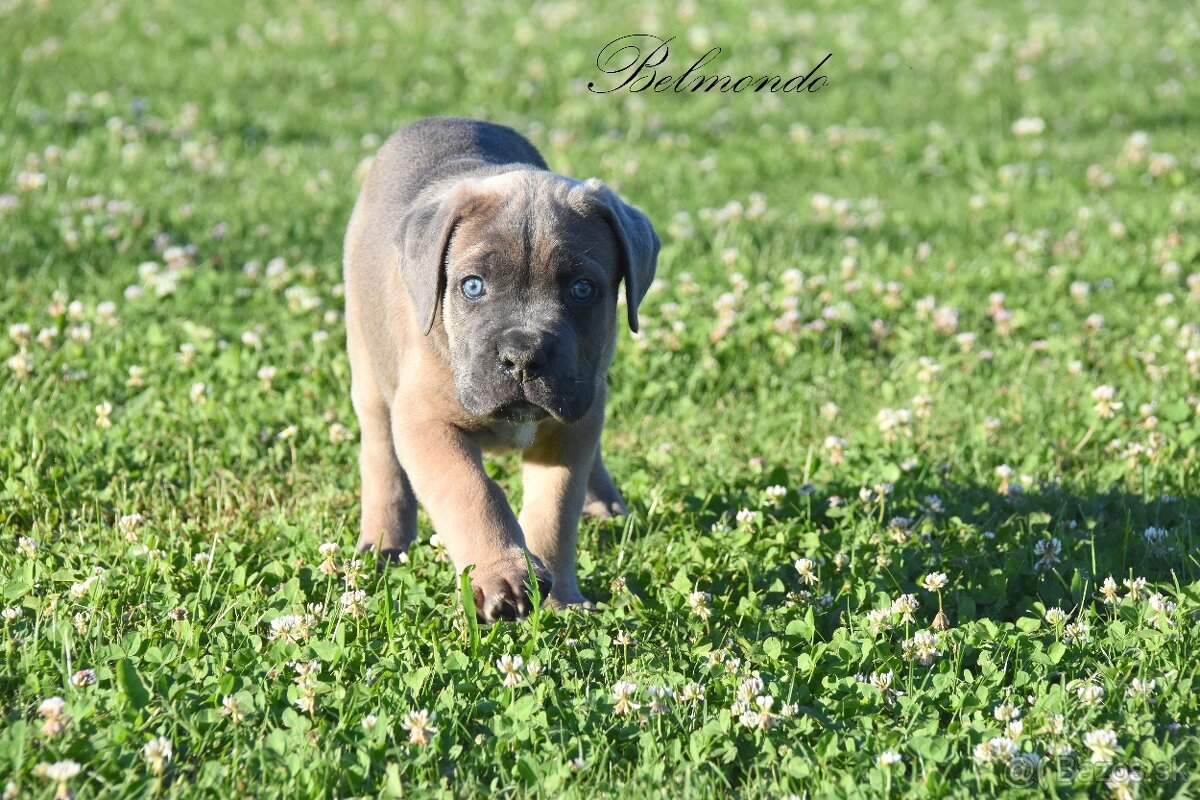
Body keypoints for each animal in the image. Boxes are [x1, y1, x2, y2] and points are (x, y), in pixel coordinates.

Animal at [343, 117, 662, 618]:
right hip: (369, 370)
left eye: (582, 289)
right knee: (380, 456)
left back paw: (606, 503)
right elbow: (471, 490)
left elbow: (554, 509)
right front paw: (503, 575)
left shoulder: (569, 425)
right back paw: (383, 541)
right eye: (472, 286)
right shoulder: (425, 422)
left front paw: (563, 600)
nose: (523, 356)